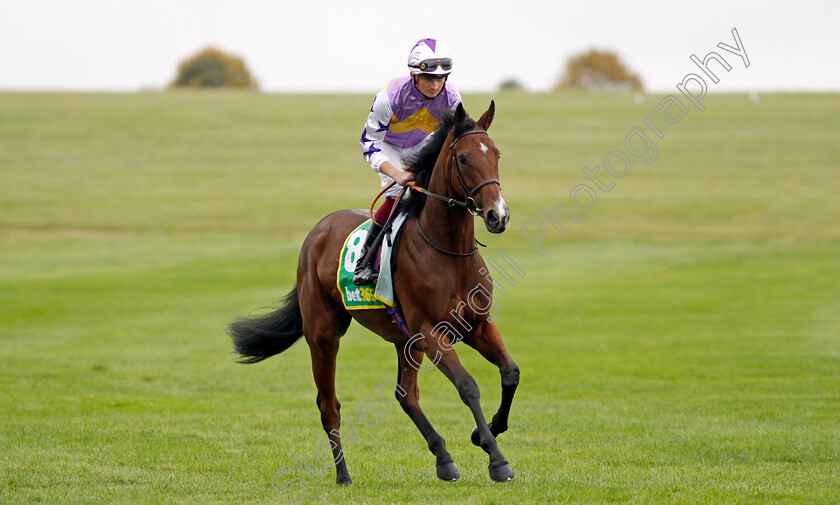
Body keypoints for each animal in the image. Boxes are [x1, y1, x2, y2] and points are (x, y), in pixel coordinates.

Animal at [230, 100, 520, 482]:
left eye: (497, 154)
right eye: (463, 159)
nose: (497, 216)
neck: (449, 253)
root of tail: (317, 231)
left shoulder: (476, 325)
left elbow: (510, 372)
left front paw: (484, 432)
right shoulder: (430, 332)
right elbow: (468, 385)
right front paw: (497, 459)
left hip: (404, 340)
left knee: (406, 395)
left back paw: (443, 458)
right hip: (323, 335)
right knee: (329, 405)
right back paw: (343, 475)